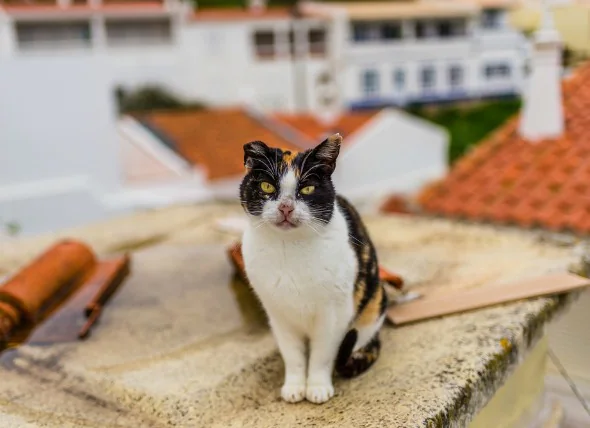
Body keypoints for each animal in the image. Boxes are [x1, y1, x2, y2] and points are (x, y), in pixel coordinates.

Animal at [240, 134, 388, 404]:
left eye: (307, 189)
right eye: (267, 187)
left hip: (373, 305)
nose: (286, 207)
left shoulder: (334, 314)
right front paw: (295, 386)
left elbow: (322, 355)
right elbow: (293, 355)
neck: (289, 248)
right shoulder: (278, 314)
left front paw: (317, 387)